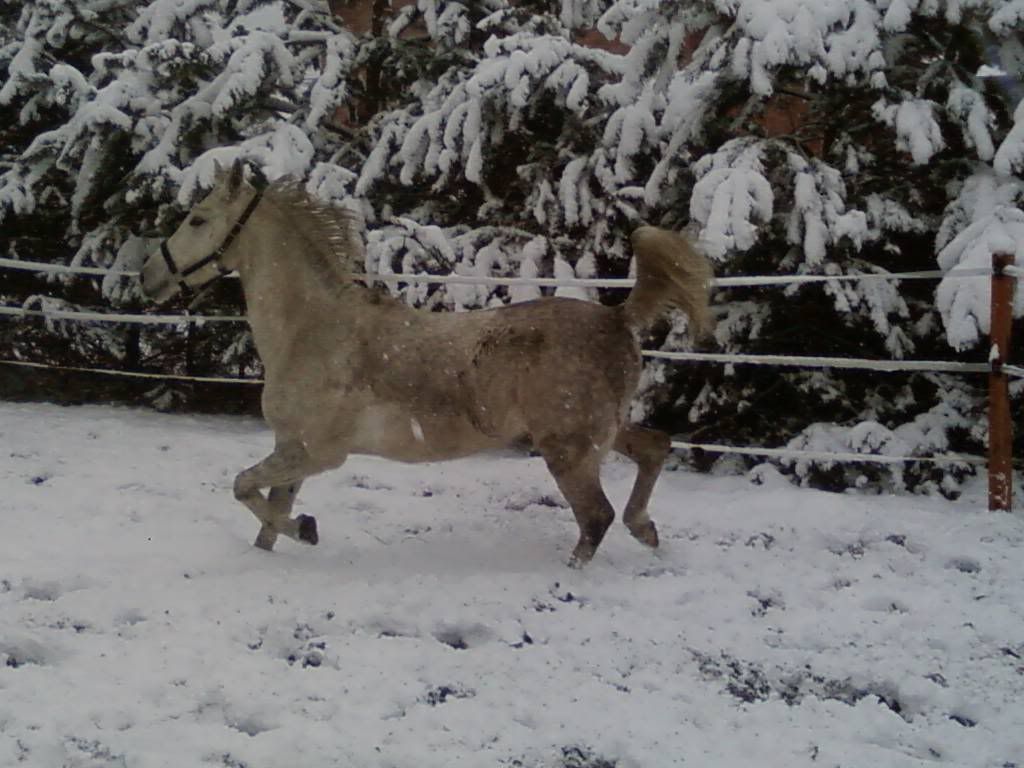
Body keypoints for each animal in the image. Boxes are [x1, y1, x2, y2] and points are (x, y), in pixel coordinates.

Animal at [140, 160, 712, 566]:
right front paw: (291, 536)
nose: (149, 275)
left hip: (568, 449)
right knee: (654, 449)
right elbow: (266, 518)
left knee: (596, 517)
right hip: (598, 434)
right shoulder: (290, 449)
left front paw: (307, 528)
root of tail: (618, 318)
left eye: (198, 218)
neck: (312, 330)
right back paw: (647, 531)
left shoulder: (315, 453)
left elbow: (243, 487)